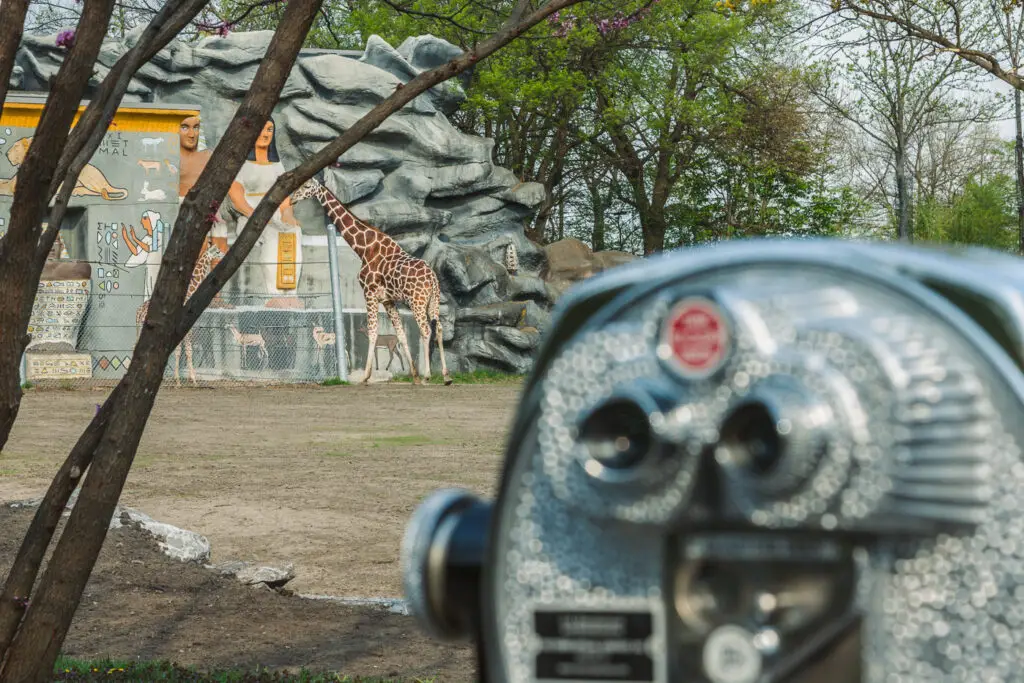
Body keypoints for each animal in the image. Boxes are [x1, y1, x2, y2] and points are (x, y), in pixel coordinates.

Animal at [135, 242, 225, 386]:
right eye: (216, 251)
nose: (222, 255)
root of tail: (138, 314)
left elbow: (178, 351)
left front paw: (178, 380)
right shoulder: (187, 327)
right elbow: (188, 350)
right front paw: (193, 380)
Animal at [290, 178, 452, 386]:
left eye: (307, 187)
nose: (292, 199)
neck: (364, 248)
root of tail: (432, 278)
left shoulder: (369, 292)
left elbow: (373, 332)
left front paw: (366, 377)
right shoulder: (388, 299)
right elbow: (401, 334)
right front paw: (414, 375)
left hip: (417, 301)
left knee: (425, 330)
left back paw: (428, 375)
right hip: (433, 301)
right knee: (438, 328)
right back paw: (446, 376)